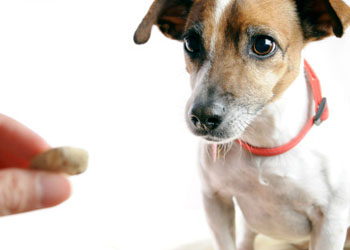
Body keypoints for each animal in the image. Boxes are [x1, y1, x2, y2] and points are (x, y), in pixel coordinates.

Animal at [134, 0, 350, 249]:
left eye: (263, 45)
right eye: (191, 43)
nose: (202, 117)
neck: (263, 143)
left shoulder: (331, 224)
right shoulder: (215, 200)